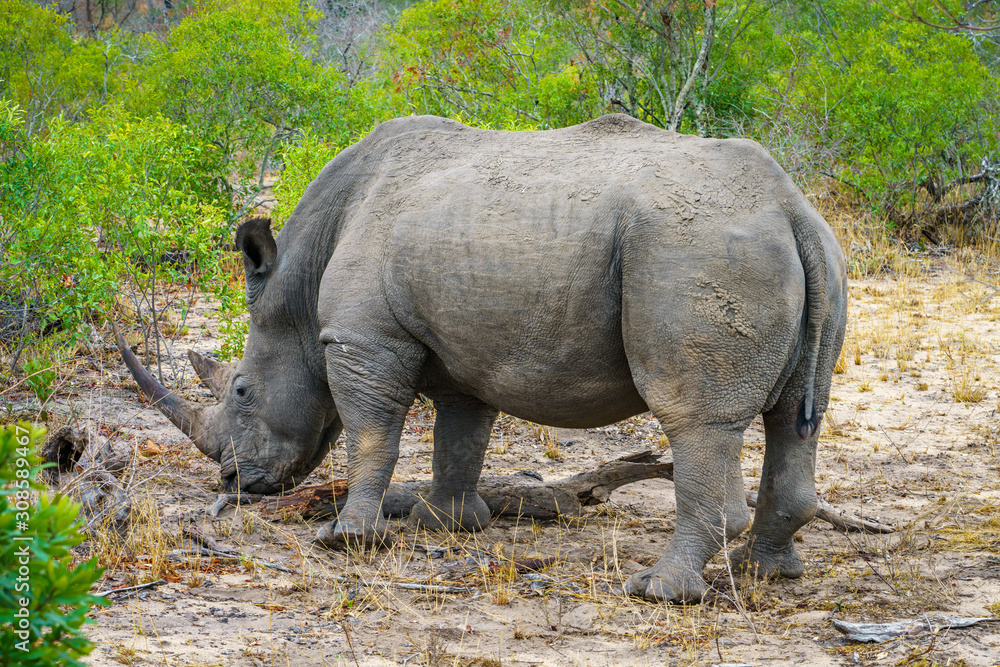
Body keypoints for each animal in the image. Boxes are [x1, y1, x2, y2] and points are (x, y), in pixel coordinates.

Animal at [117, 114, 847, 603]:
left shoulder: (361, 340)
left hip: (695, 251)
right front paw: (445, 521)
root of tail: (789, 206)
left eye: (241, 390)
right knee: (795, 418)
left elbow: (372, 433)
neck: (295, 287)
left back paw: (658, 590)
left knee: (695, 419)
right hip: (813, 254)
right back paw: (764, 571)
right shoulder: (459, 344)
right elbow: (460, 431)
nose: (233, 481)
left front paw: (347, 537)